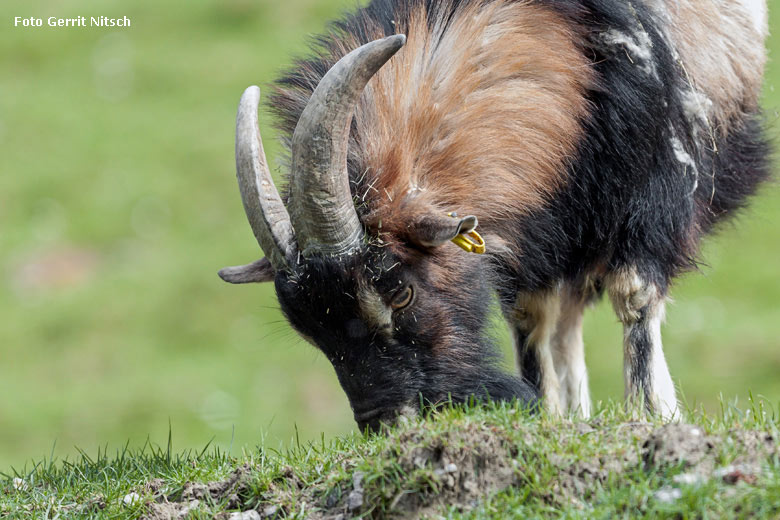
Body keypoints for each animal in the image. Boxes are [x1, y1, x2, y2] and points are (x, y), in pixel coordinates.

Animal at [218, 0, 768, 430]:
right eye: (308, 328)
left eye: (400, 291)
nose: (388, 423)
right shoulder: (537, 232)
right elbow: (531, 319)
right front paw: (548, 416)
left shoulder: (653, 193)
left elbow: (634, 295)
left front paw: (652, 415)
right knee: (566, 321)